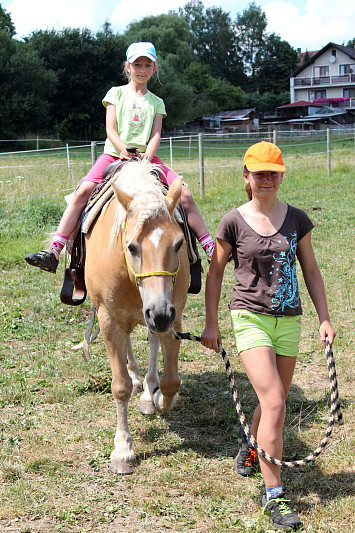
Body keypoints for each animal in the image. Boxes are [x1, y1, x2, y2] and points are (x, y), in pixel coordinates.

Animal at [85, 159, 191, 474]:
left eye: (179, 244)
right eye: (131, 246)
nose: (159, 313)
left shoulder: (173, 315)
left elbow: (171, 381)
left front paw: (157, 396)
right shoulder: (109, 320)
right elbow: (119, 387)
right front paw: (123, 450)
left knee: (151, 343)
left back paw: (146, 390)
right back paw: (135, 378)